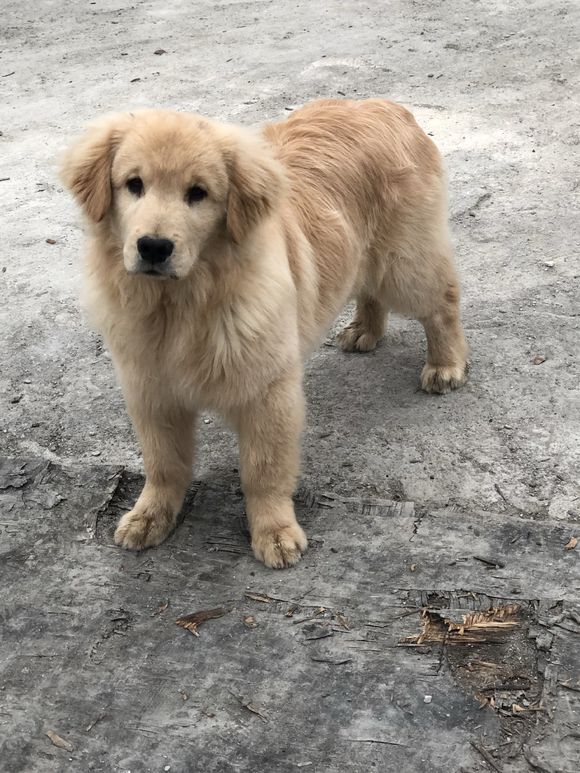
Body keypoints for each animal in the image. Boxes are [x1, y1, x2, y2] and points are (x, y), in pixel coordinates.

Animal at [60, 98, 466, 568]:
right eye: (133, 185)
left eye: (197, 193)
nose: (154, 247)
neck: (182, 307)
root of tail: (384, 104)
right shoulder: (151, 390)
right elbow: (164, 464)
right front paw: (150, 516)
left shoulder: (267, 393)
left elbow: (262, 470)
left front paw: (275, 531)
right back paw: (365, 329)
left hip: (403, 262)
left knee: (442, 300)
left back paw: (445, 365)